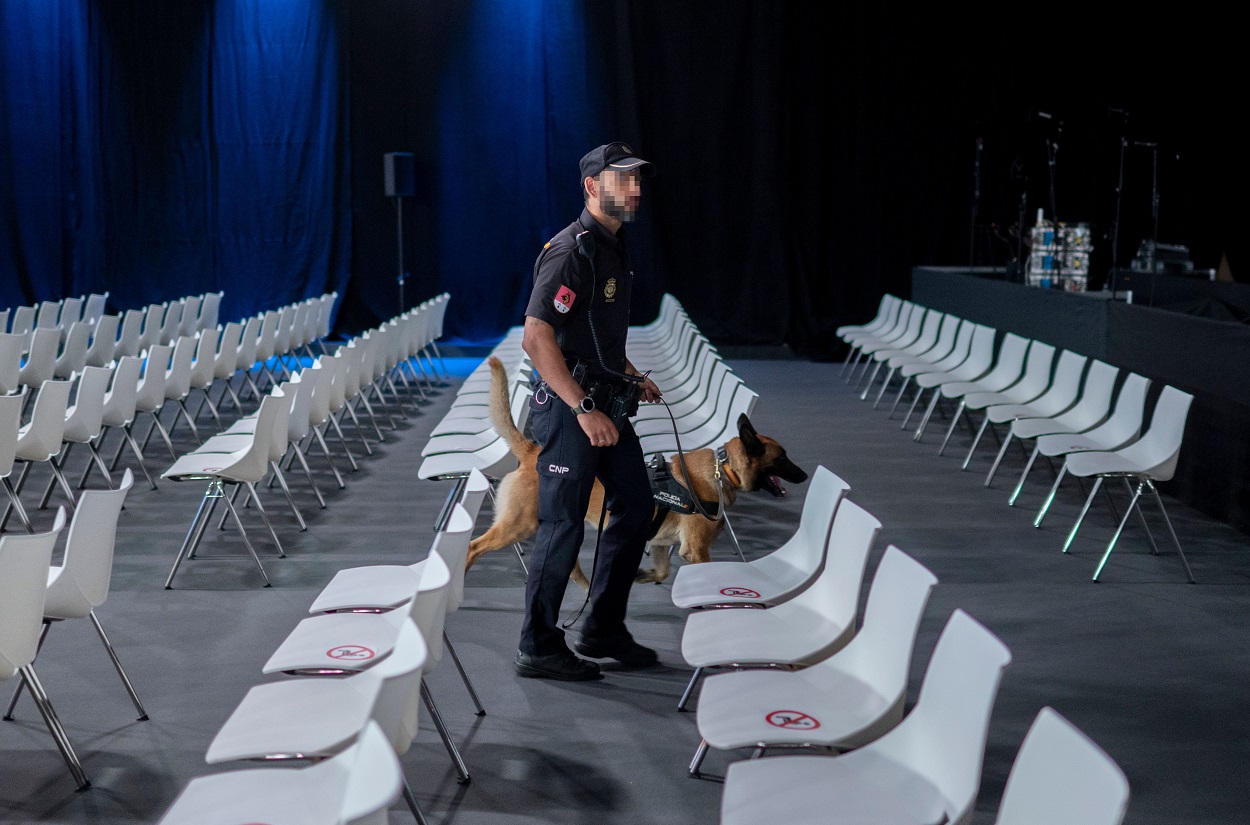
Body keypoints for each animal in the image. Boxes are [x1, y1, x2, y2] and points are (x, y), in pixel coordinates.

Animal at [462, 357, 810, 582]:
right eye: (782, 458)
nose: (806, 476)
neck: (721, 470)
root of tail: (532, 450)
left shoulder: (661, 545)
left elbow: (662, 572)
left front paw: (641, 576)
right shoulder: (696, 550)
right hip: (519, 526)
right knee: (472, 547)